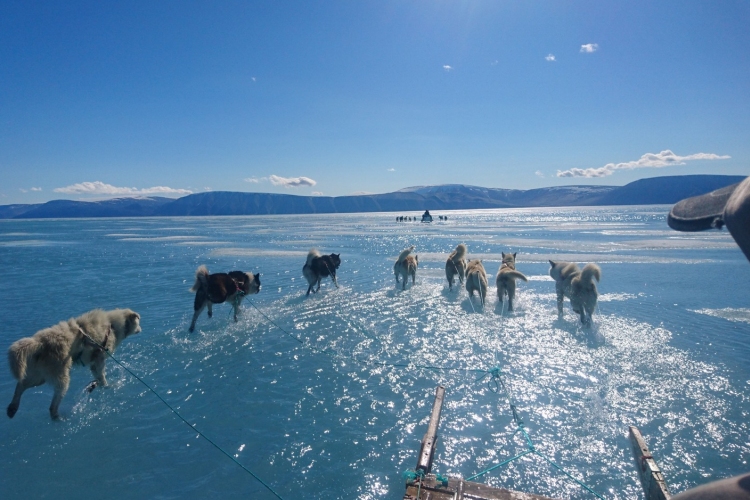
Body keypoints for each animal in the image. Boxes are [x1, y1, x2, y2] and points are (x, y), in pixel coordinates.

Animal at [7, 308, 142, 418]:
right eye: (139, 322)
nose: (141, 329)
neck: (112, 325)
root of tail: (39, 342)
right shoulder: (99, 359)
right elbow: (102, 376)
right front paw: (107, 386)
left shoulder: (94, 362)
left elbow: (98, 377)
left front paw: (96, 385)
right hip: (61, 379)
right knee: (52, 407)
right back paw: (58, 418)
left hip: (39, 376)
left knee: (21, 385)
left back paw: (12, 408)